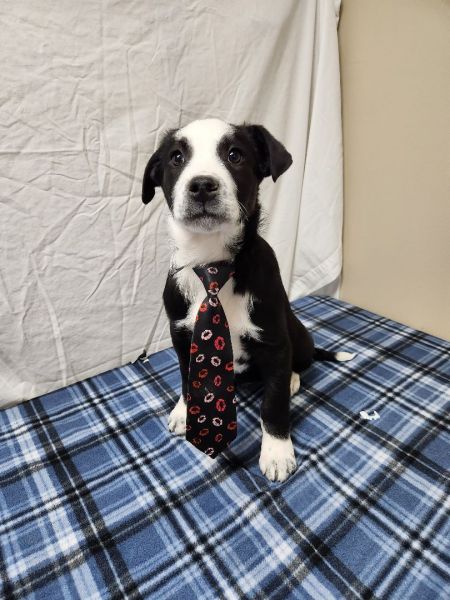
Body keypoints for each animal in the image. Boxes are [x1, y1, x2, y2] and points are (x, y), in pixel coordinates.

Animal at [142, 118, 354, 482]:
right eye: (176, 158)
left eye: (235, 155)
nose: (202, 185)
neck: (212, 262)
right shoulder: (181, 334)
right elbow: (186, 376)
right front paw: (184, 411)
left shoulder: (274, 339)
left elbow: (273, 403)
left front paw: (277, 451)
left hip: (297, 336)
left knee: (298, 363)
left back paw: (292, 378)